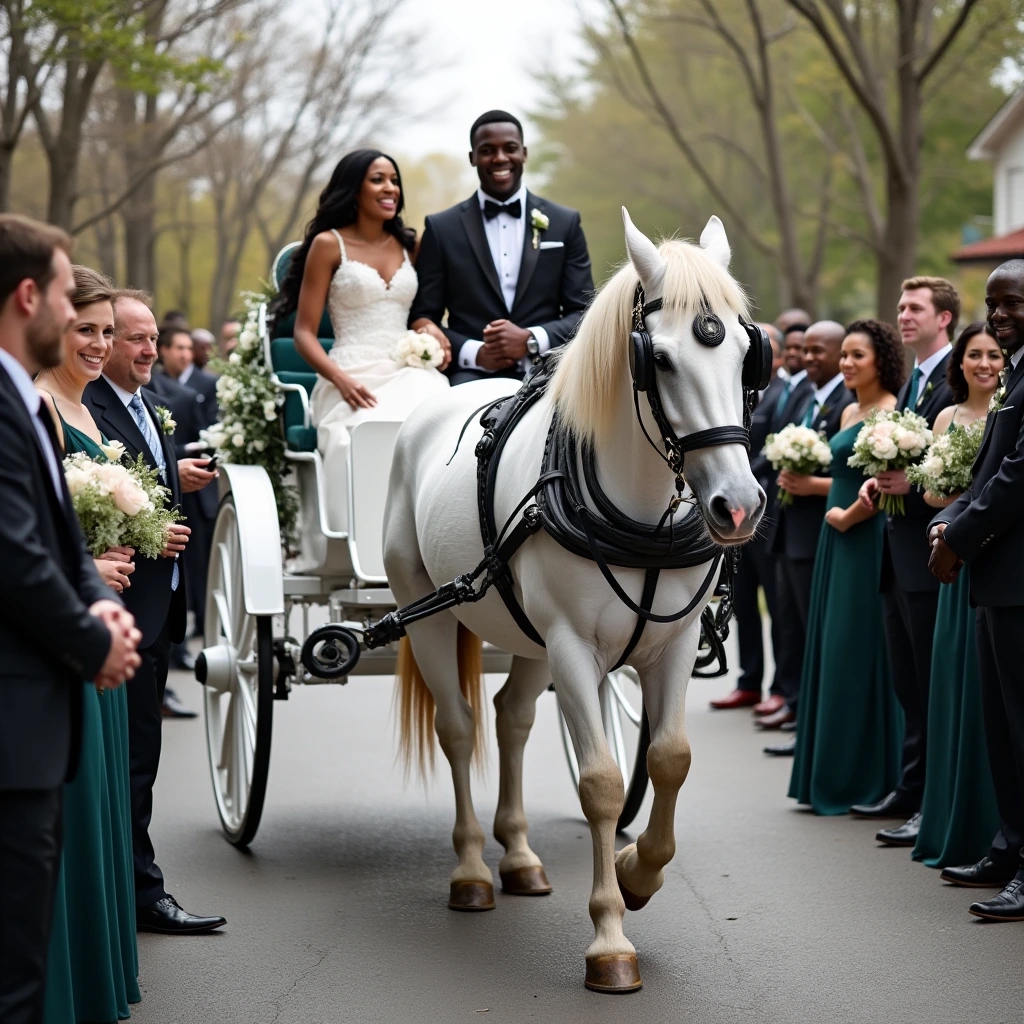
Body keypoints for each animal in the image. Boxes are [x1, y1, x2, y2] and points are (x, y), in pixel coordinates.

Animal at [380, 209, 765, 991]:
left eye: (749, 354)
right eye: (661, 360)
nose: (738, 506)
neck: (642, 511)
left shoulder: (671, 644)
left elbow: (670, 759)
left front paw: (640, 872)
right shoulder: (574, 649)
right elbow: (602, 784)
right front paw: (610, 939)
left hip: (525, 635)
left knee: (513, 719)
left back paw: (521, 858)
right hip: (429, 613)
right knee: (460, 728)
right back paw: (473, 870)